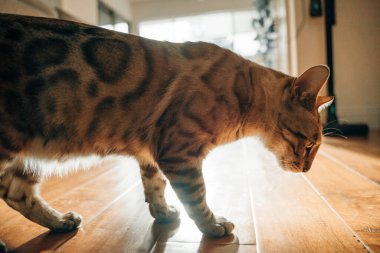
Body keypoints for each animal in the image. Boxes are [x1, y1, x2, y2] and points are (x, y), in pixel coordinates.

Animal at [0, 13, 332, 239]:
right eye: (310, 145)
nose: (307, 170)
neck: (243, 95)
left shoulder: (151, 151)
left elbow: (155, 185)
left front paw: (163, 213)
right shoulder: (179, 152)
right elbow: (196, 195)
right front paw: (212, 225)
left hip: (25, 158)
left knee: (16, 194)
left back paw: (60, 221)